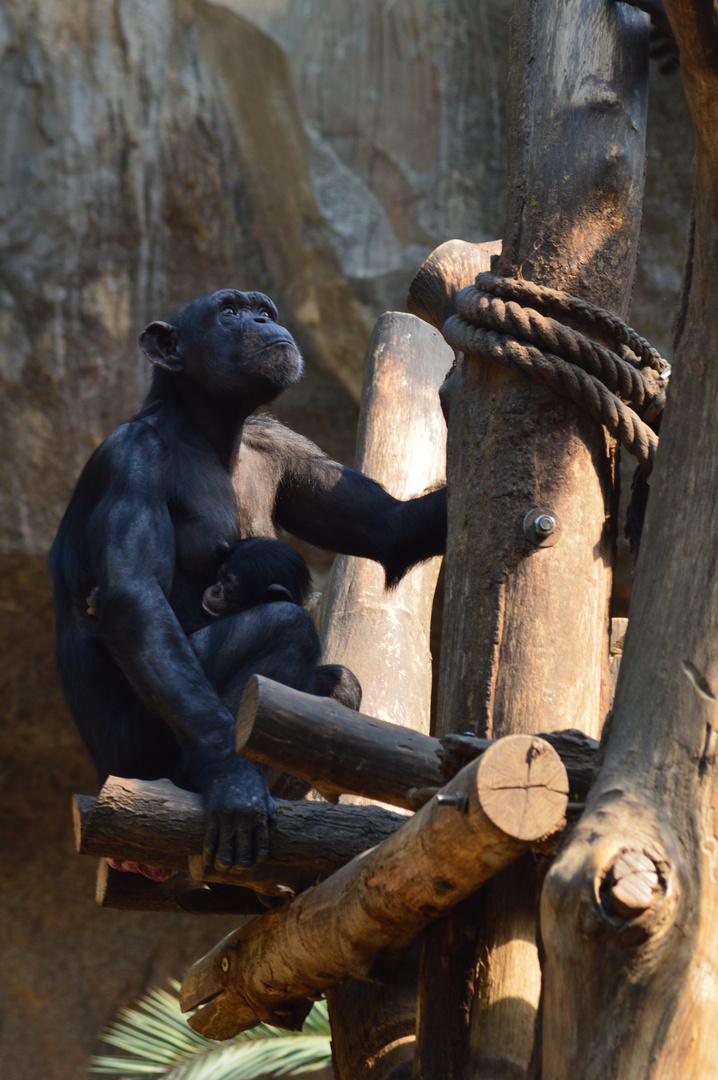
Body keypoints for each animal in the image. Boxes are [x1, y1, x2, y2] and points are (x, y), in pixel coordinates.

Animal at [50, 287, 442, 868]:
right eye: (228, 312)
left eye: (262, 310)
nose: (259, 320)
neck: (206, 429)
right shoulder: (131, 461)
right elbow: (134, 599)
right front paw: (233, 779)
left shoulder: (282, 443)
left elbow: (390, 526)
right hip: (138, 753)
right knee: (283, 625)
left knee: (338, 684)